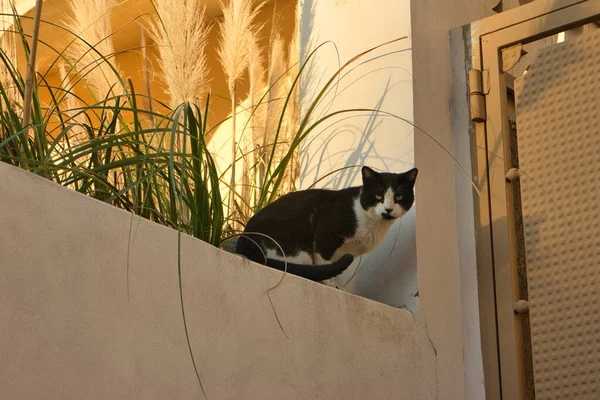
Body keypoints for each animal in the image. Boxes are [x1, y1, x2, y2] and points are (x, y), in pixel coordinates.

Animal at [234, 167, 418, 282]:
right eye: (379, 196)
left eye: (399, 197)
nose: (388, 209)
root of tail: (245, 239)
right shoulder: (326, 236)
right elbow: (324, 263)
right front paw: (330, 283)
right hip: (298, 248)